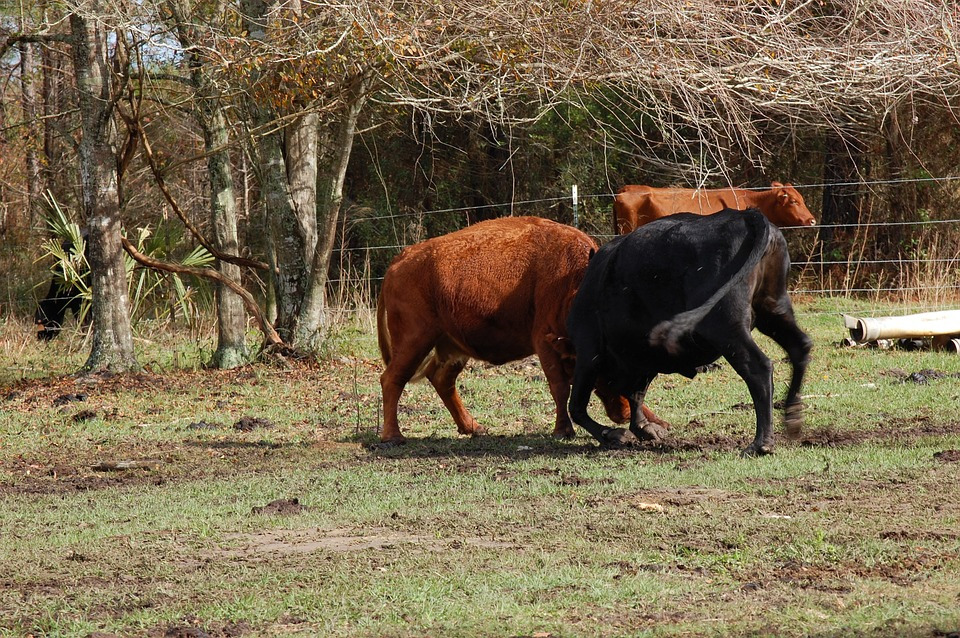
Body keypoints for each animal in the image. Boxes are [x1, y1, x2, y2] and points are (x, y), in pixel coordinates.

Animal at [376, 216, 666, 446]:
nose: (623, 412)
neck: (573, 282)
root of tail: (399, 260)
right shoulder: (545, 344)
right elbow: (559, 388)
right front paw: (563, 430)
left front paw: (658, 423)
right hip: (414, 340)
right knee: (392, 379)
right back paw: (393, 436)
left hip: (451, 346)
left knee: (440, 379)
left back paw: (473, 427)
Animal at [566, 209, 812, 457]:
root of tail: (744, 215)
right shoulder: (644, 356)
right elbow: (635, 394)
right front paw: (644, 428)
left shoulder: (589, 349)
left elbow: (577, 405)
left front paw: (612, 433)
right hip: (773, 308)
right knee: (799, 347)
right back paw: (792, 417)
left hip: (724, 326)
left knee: (758, 367)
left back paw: (761, 442)